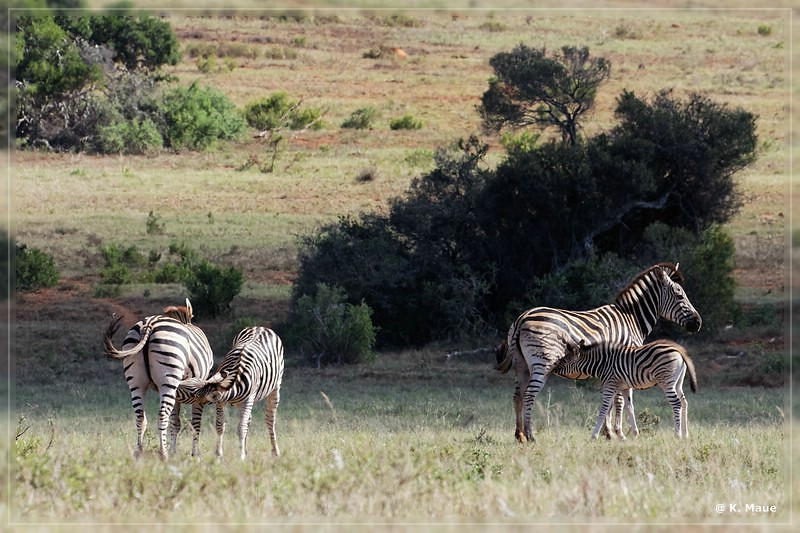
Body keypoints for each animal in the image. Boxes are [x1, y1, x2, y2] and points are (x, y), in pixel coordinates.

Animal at [103, 298, 216, 460]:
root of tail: (149, 325)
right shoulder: (198, 391)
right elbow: (195, 424)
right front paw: (195, 455)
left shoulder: (178, 393)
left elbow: (176, 422)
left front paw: (175, 451)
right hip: (168, 380)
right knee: (162, 416)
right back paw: (164, 454)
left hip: (136, 382)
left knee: (140, 417)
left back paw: (139, 452)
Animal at [178, 326, 284, 460]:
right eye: (190, 380)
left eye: (192, 392)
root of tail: (260, 327)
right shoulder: (220, 402)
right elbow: (220, 426)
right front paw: (219, 454)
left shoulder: (248, 400)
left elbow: (241, 428)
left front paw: (241, 456)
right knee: (249, 419)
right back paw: (246, 449)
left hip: (275, 387)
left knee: (270, 419)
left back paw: (275, 452)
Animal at [552, 338, 696, 438]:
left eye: (564, 361)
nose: (552, 369)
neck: (603, 364)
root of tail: (678, 350)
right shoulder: (623, 387)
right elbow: (629, 408)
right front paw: (635, 434)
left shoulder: (610, 384)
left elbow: (604, 409)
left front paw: (594, 435)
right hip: (677, 383)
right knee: (684, 402)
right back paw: (685, 435)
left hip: (666, 382)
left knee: (676, 403)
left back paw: (677, 434)